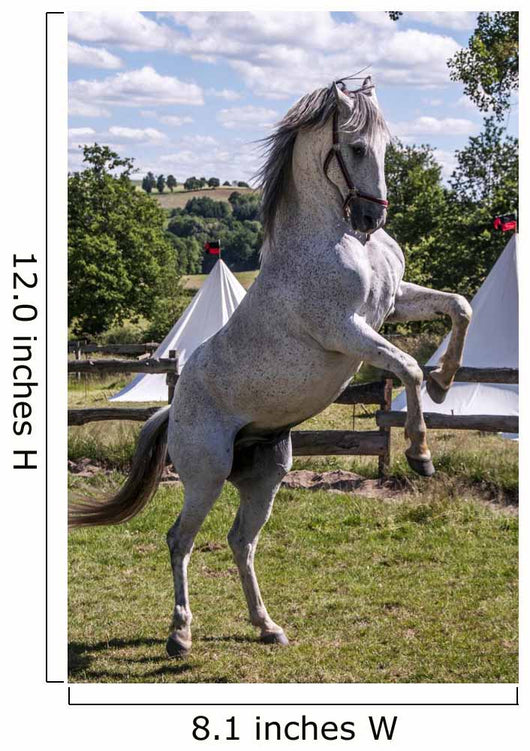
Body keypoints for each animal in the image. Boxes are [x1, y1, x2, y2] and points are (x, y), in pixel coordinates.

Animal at [70, 77, 472, 658]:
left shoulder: (390, 306)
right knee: (179, 539)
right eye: (355, 147)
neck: (332, 238)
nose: (372, 220)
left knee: (241, 541)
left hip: (265, 477)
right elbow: (407, 369)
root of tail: (172, 411)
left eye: (386, 147)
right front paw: (421, 454)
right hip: (206, 476)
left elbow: (458, 308)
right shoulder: (346, 330)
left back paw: (267, 626)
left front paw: (445, 384)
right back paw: (180, 634)